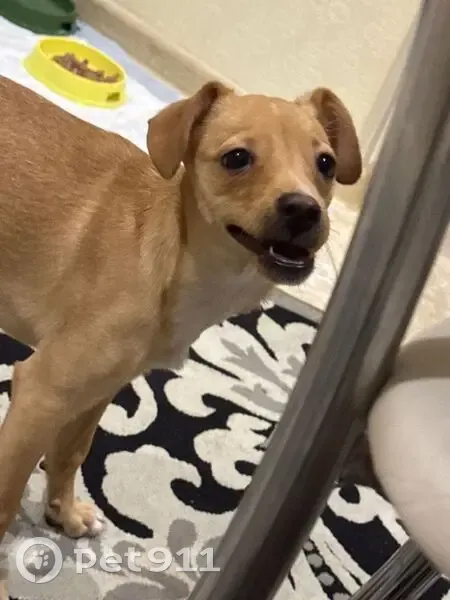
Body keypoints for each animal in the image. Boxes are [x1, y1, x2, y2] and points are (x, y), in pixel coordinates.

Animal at [0, 74, 361, 595]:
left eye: (326, 164)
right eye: (237, 158)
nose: (304, 209)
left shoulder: (97, 391)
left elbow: (71, 453)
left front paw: (63, 513)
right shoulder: (42, 394)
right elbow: (6, 496)